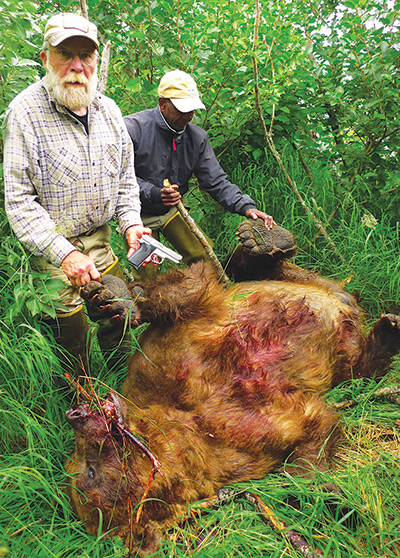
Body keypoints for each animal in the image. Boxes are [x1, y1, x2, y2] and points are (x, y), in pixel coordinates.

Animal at [64, 221, 400, 556]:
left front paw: (119, 297)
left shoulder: (163, 361)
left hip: (299, 288)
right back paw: (387, 332)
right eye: (86, 468)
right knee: (359, 368)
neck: (183, 421)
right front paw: (332, 500)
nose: (75, 414)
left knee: (246, 269)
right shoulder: (247, 444)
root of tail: (343, 299)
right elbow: (313, 430)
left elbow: (185, 290)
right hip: (343, 353)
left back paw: (263, 240)